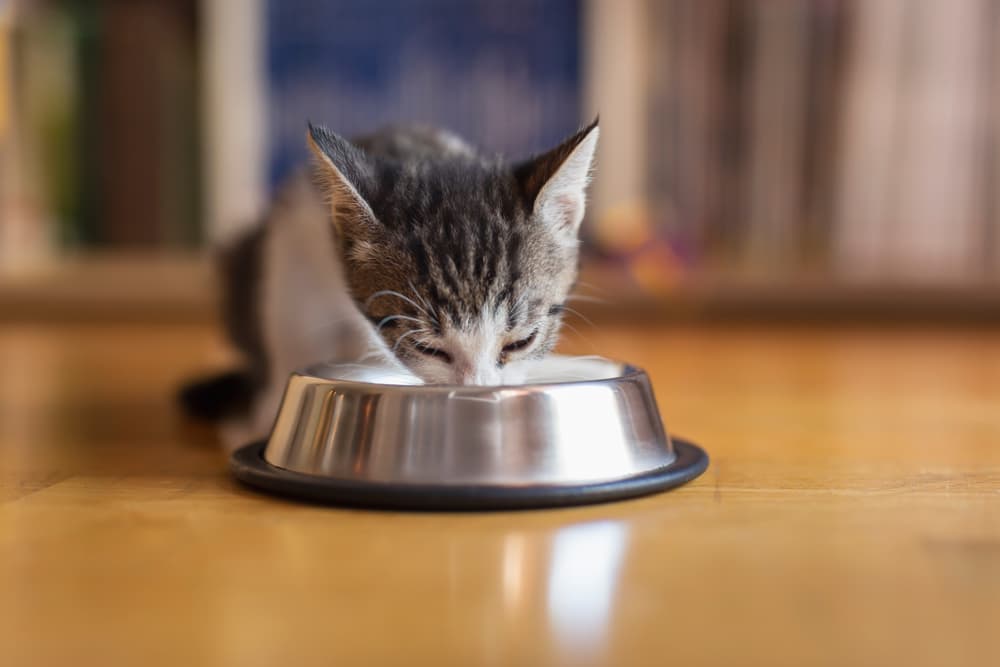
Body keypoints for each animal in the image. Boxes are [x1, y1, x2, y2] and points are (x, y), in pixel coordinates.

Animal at [181, 120, 596, 444]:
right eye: (428, 349)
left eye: (521, 342)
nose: (478, 395)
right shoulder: (296, 232)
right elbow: (291, 322)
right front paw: (265, 416)